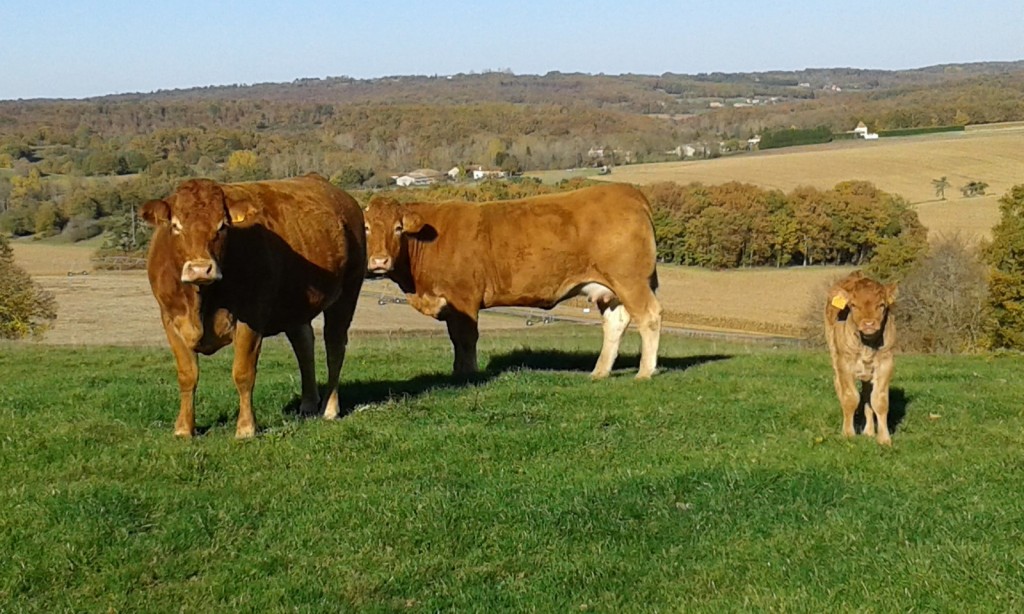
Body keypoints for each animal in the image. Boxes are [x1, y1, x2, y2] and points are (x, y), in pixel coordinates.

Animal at [138, 173, 366, 435]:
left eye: (222, 226)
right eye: (176, 226)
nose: (201, 269)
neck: (202, 301)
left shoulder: (251, 317)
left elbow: (243, 373)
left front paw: (246, 428)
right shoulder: (170, 320)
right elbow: (187, 375)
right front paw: (184, 428)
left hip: (347, 294)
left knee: (334, 347)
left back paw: (329, 408)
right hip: (295, 305)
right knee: (304, 345)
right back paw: (308, 403)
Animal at [364, 182, 659, 378]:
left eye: (398, 228)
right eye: (365, 227)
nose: (379, 261)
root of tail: (628, 192)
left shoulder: (464, 297)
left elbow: (465, 338)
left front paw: (468, 374)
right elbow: (456, 340)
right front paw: (458, 372)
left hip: (631, 281)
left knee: (649, 317)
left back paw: (645, 372)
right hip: (610, 289)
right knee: (616, 323)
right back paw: (600, 372)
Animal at [823, 270, 897, 444]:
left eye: (881, 305)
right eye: (853, 305)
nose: (868, 324)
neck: (867, 344)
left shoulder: (886, 362)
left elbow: (879, 401)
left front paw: (884, 439)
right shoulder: (844, 363)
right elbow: (850, 397)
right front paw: (848, 433)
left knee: (866, 396)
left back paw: (869, 431)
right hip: (835, 357)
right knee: (840, 386)